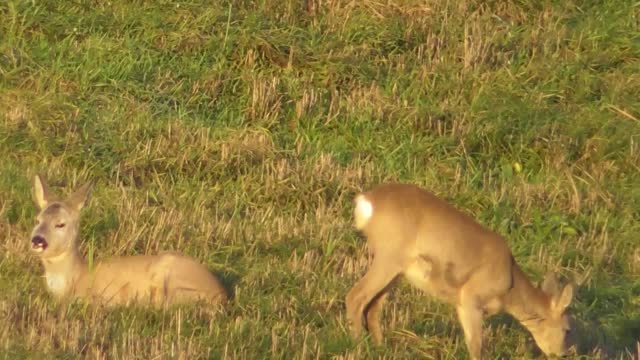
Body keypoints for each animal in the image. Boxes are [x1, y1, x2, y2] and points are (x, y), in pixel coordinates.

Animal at [344, 184, 576, 358]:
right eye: (567, 329)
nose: (563, 354)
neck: (509, 285)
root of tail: (366, 201)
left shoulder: (461, 304)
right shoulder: (471, 296)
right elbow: (476, 345)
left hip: (396, 268)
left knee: (373, 306)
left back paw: (379, 347)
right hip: (389, 256)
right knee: (355, 296)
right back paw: (357, 346)